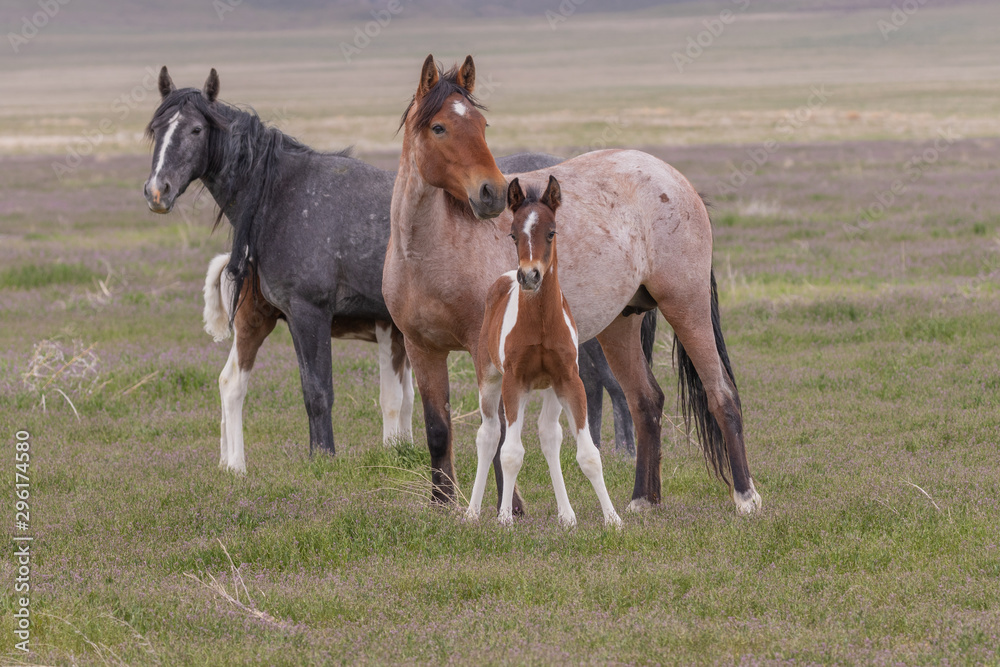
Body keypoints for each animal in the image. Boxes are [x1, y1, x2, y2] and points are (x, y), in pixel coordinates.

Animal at [142, 66, 642, 481]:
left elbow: (318, 392)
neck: (282, 194)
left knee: (606, 383)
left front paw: (323, 460)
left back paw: (622, 454)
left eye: (195, 129)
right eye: (155, 130)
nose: (156, 191)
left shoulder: (309, 314)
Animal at [467, 176, 621, 527]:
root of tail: (504, 278)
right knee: (489, 435)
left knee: (549, 436)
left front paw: (613, 519)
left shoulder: (569, 379)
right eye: (513, 234)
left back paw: (566, 515)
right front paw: (505, 519)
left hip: (550, 388)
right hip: (490, 379)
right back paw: (471, 512)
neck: (539, 324)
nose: (529, 275)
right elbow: (511, 453)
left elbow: (588, 454)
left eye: (551, 231)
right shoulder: (514, 381)